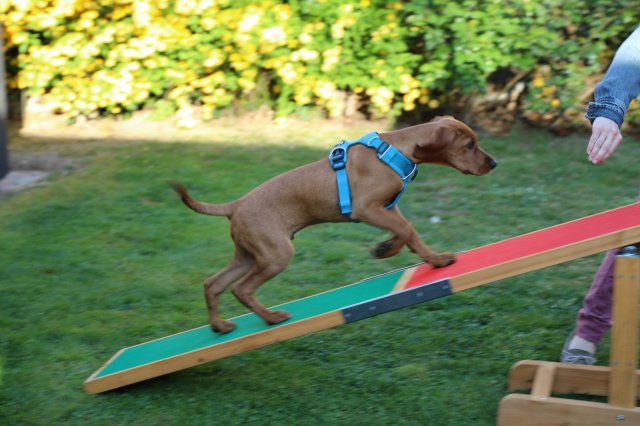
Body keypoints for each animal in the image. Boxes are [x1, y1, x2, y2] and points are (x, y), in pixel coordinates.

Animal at [171, 116, 497, 333]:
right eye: (469, 145)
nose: (493, 164)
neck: (396, 149)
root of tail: (235, 204)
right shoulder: (366, 208)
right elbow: (405, 231)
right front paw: (384, 250)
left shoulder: (389, 207)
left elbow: (412, 233)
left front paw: (436, 260)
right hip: (276, 254)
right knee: (242, 289)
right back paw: (271, 318)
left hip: (249, 254)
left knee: (213, 284)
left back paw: (219, 326)